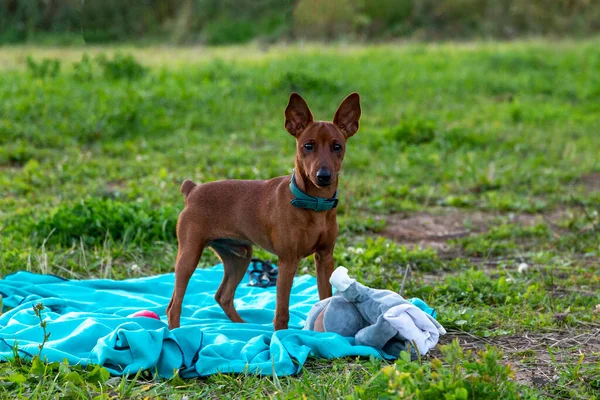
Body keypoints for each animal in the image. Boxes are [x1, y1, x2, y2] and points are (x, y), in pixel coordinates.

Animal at [165, 92, 360, 330]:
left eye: (337, 146)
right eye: (308, 145)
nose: (323, 176)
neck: (314, 204)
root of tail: (192, 190)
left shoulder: (324, 258)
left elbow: (325, 298)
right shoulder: (287, 262)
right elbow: (282, 312)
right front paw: (281, 335)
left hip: (239, 257)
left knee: (223, 296)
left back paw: (242, 326)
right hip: (189, 256)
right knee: (174, 304)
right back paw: (177, 332)